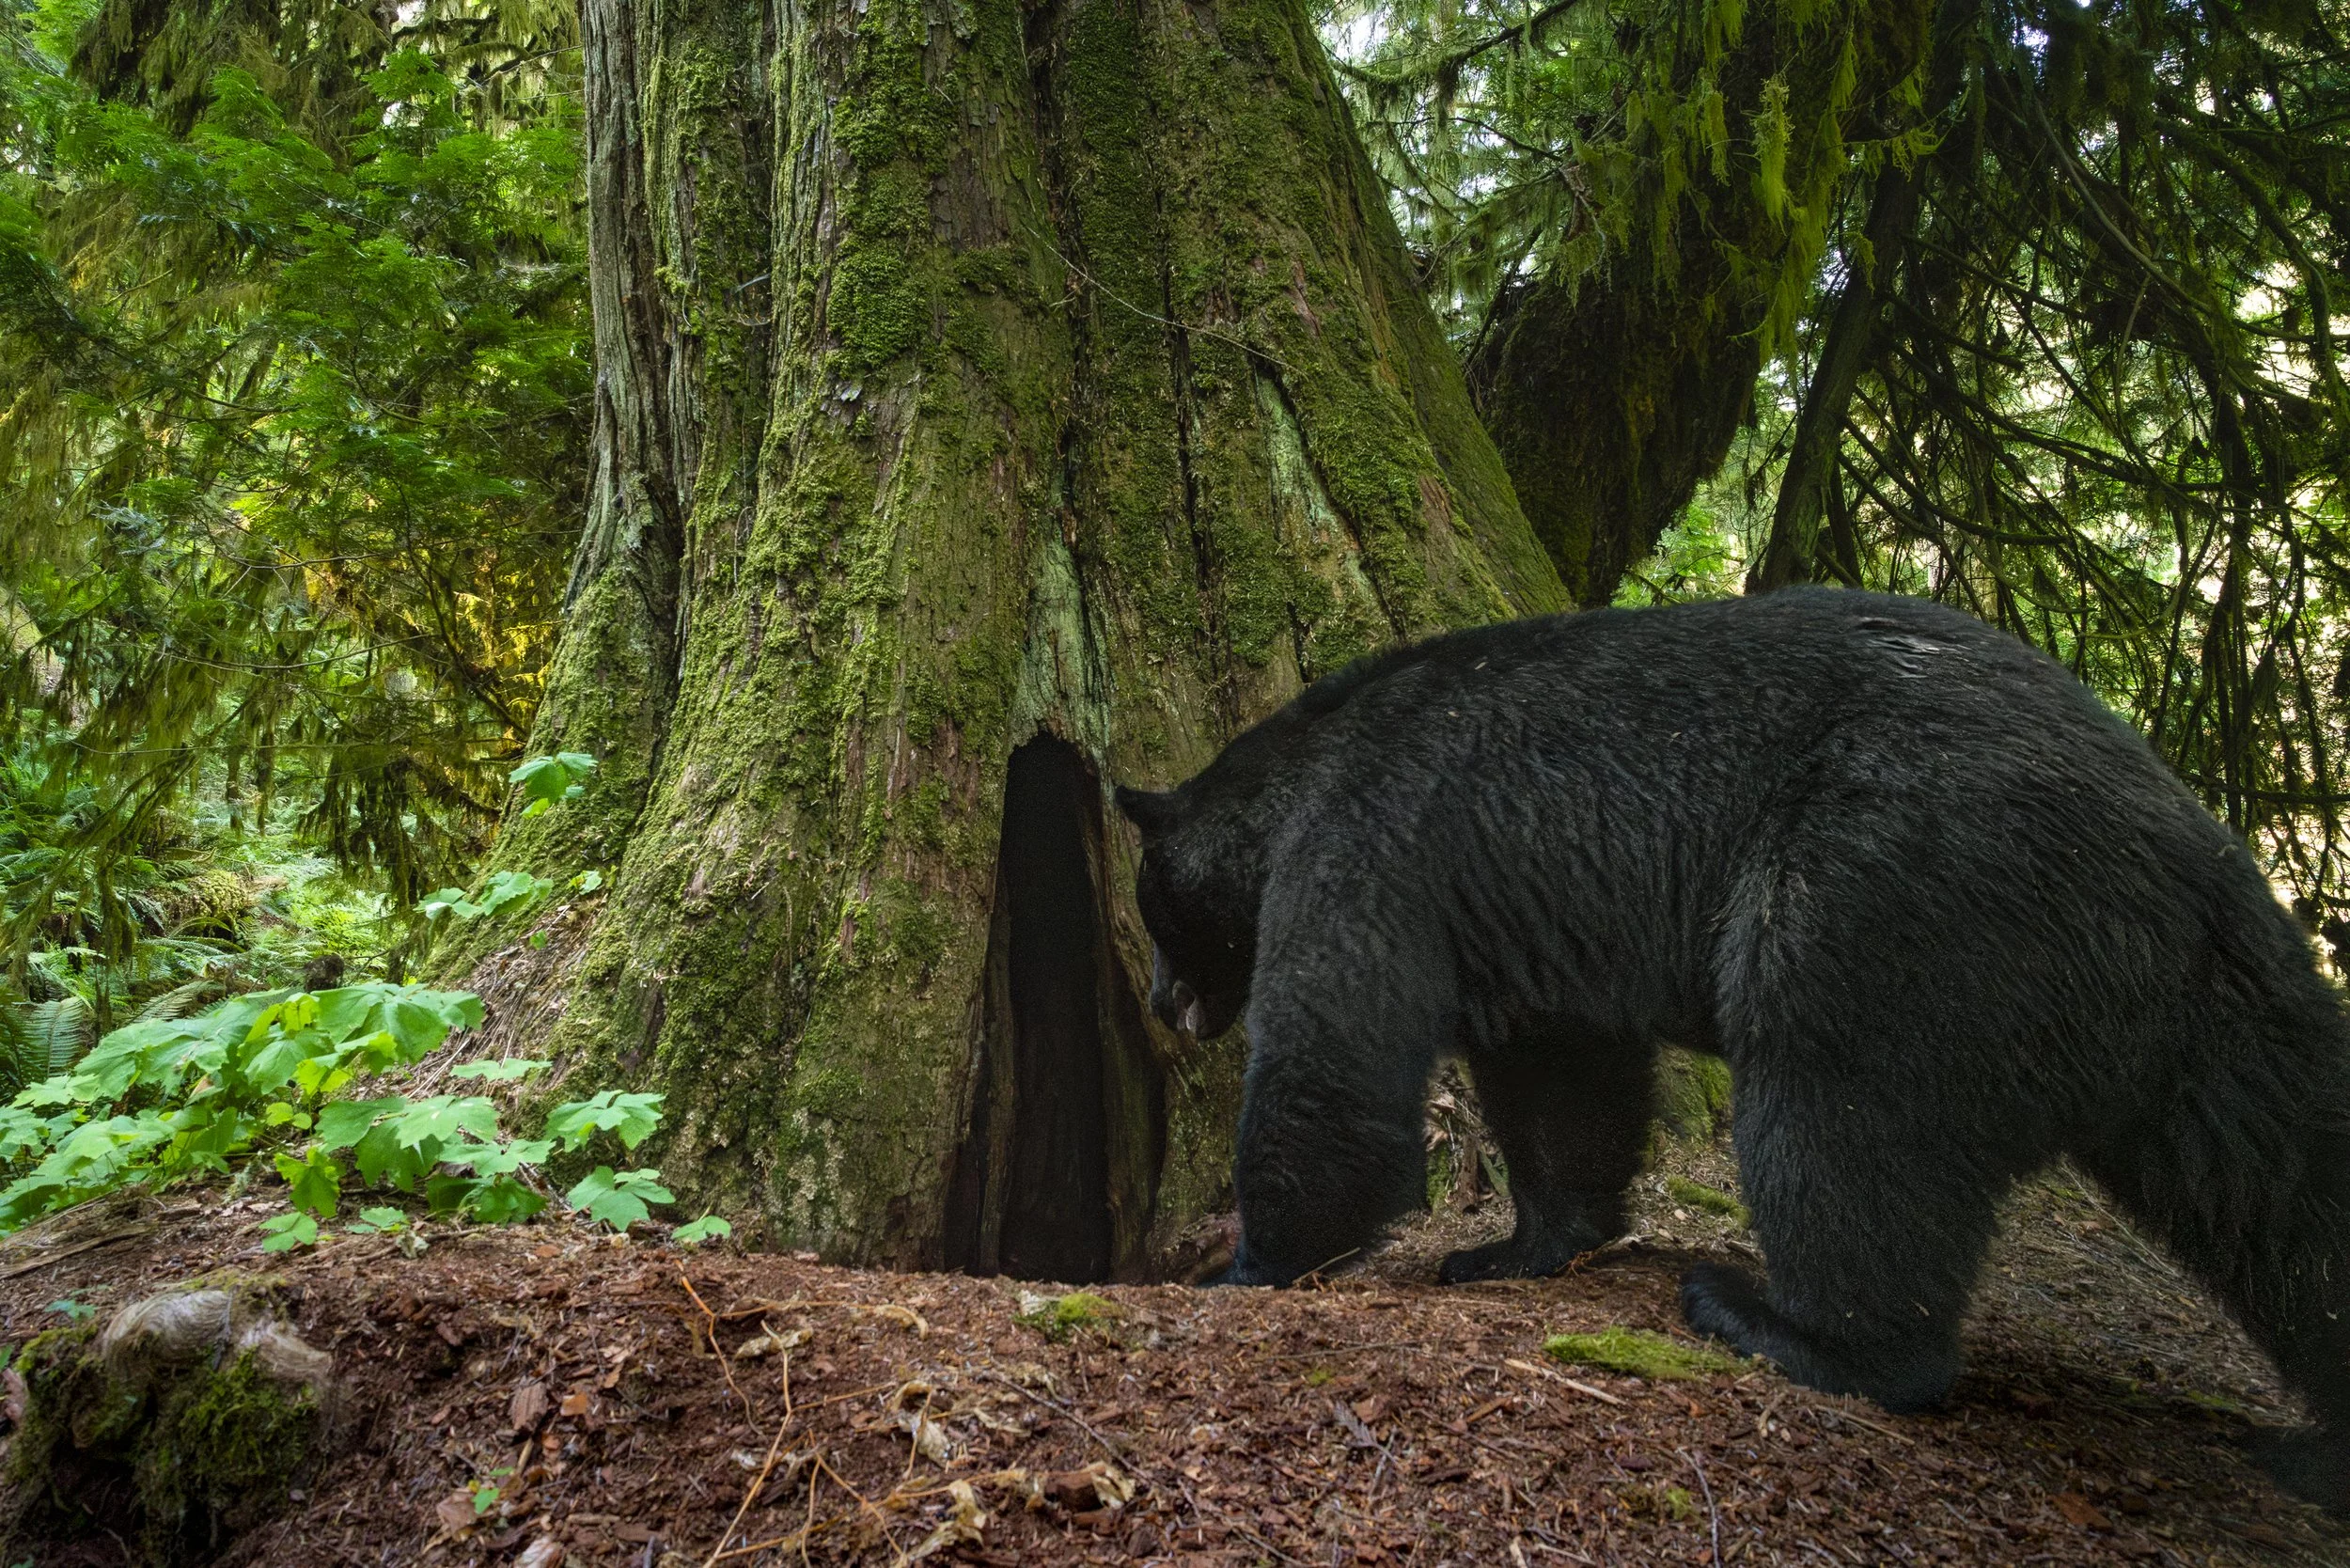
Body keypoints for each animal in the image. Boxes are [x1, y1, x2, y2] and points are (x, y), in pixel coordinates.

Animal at [1115, 587, 2350, 1508]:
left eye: (1154, 909)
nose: (1161, 1004)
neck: (1298, 769)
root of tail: (2187, 851)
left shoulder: (1371, 842)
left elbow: (1335, 1057)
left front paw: (1246, 1265)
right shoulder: (1520, 923)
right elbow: (1562, 1079)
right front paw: (1517, 1244)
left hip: (1889, 896)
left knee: (1842, 1126)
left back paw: (1776, 1324)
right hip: (2211, 1025)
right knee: (2284, 1187)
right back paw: (2314, 1443)